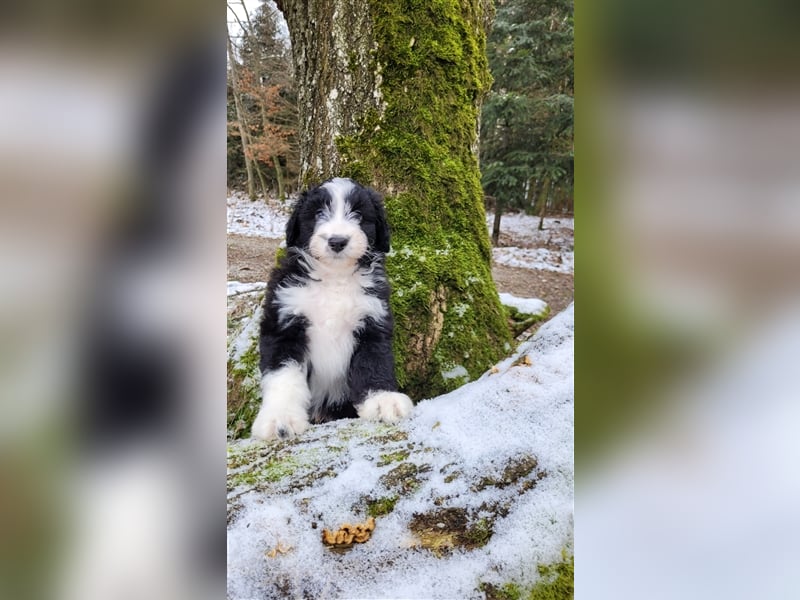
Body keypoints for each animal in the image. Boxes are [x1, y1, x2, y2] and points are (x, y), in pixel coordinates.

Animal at [253, 176, 416, 438]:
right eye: (319, 212)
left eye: (358, 215)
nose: (337, 241)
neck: (334, 277)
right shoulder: (284, 322)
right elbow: (283, 374)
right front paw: (280, 418)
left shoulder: (372, 320)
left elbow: (374, 363)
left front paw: (382, 400)